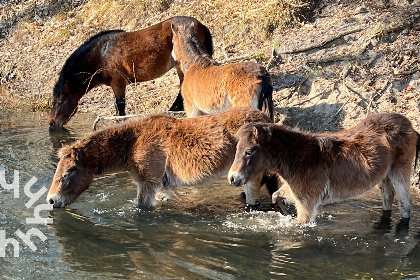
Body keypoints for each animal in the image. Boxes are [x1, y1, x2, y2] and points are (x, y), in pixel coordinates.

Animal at [46, 107, 276, 208]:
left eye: (67, 173)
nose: (51, 200)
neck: (133, 142)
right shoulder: (161, 186)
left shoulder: (148, 183)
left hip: (249, 177)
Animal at [49, 16, 213, 128]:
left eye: (60, 101)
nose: (51, 123)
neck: (102, 53)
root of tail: (199, 24)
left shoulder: (118, 84)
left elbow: (121, 107)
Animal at [230, 112, 420, 224]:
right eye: (236, 149)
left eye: (248, 151)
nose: (232, 178)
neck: (300, 157)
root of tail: (410, 126)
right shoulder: (297, 193)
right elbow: (276, 196)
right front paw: (285, 213)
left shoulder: (307, 204)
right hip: (385, 176)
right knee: (388, 197)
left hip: (400, 172)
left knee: (405, 205)